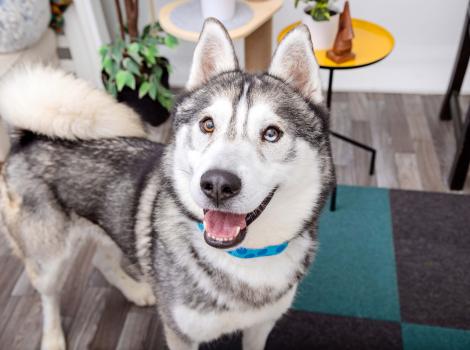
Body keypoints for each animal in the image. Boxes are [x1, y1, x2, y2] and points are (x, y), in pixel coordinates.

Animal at [0, 19, 334, 350]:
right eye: (207, 125)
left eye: (272, 133)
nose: (217, 184)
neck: (245, 256)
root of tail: (30, 136)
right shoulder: (181, 335)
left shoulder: (261, 326)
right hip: (47, 257)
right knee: (48, 296)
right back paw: (53, 338)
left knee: (100, 260)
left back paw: (136, 290)